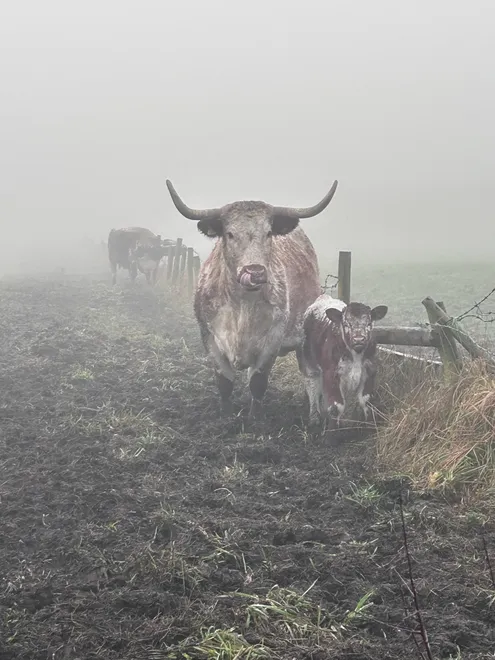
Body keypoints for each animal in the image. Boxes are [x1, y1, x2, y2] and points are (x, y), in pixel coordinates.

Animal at [165, 178, 338, 418]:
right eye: (229, 233)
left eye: (268, 232)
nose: (255, 272)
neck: (242, 305)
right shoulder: (209, 337)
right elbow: (224, 382)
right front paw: (226, 416)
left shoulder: (272, 341)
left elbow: (258, 382)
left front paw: (254, 417)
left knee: (311, 376)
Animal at [299, 294, 388, 429]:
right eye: (346, 324)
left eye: (368, 323)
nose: (358, 339)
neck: (356, 355)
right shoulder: (331, 374)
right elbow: (336, 407)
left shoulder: (369, 371)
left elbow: (366, 401)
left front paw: (367, 427)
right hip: (308, 360)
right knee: (312, 385)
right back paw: (314, 417)